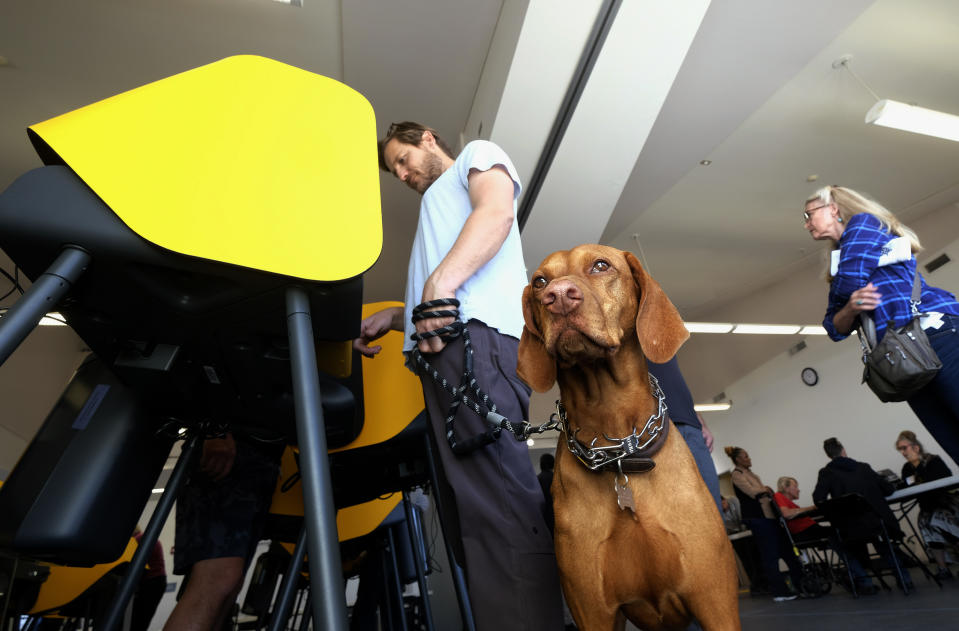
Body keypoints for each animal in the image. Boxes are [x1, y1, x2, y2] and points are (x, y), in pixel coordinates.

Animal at [520, 244, 740, 628]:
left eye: (600, 265)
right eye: (540, 282)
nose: (557, 297)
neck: (621, 450)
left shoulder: (715, 603)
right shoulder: (594, 614)